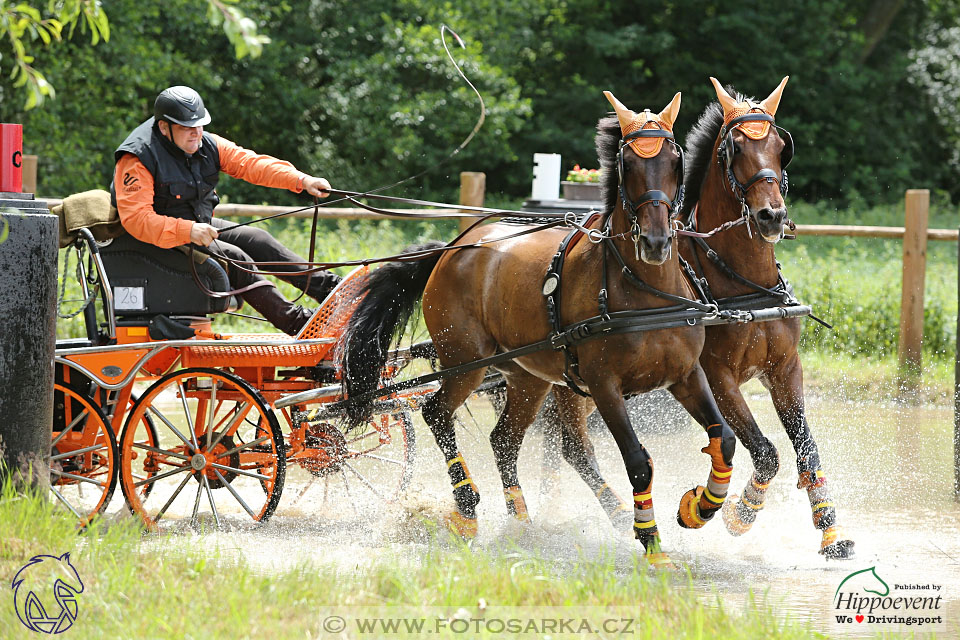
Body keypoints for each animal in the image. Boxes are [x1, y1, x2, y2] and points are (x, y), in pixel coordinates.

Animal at [342, 90, 740, 560]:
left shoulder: (686, 374)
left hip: (527, 377)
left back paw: (520, 520)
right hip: (466, 362)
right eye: (627, 164)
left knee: (504, 439)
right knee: (437, 413)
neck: (646, 293)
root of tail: (452, 250)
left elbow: (724, 439)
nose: (656, 242)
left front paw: (702, 506)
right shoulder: (604, 385)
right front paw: (652, 543)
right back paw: (466, 507)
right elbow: (638, 462)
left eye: (676, 161)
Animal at [680, 76, 852, 560]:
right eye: (734, 148)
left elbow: (807, 450)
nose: (771, 215)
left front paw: (830, 531)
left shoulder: (785, 369)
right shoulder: (718, 376)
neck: (747, 288)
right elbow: (766, 452)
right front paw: (738, 512)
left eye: (780, 146)